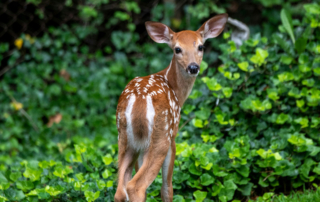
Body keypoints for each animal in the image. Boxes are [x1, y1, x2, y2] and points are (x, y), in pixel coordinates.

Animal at [114, 13, 228, 202]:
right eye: (177, 49)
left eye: (201, 46)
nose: (193, 67)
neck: (176, 91)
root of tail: (139, 100)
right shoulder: (173, 136)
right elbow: (167, 187)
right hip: (161, 136)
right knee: (136, 187)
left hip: (124, 139)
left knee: (120, 191)